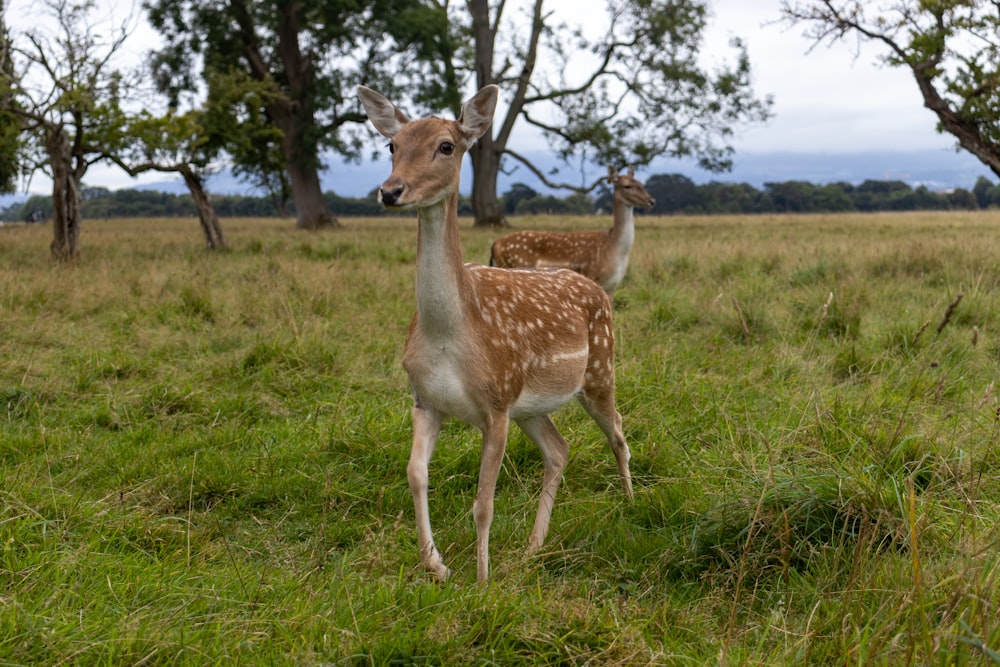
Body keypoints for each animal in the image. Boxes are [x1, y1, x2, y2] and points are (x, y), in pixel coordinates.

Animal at [358, 85, 632, 584]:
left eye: (447, 146)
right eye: (391, 145)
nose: (390, 191)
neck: (448, 337)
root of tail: (600, 290)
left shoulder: (496, 404)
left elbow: (483, 503)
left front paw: (483, 580)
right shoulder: (425, 400)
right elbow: (414, 474)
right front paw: (437, 564)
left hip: (599, 371)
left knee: (617, 430)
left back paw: (630, 500)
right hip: (531, 406)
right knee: (559, 449)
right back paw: (533, 547)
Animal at [486, 166, 656, 294]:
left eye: (641, 183)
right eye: (627, 186)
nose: (652, 201)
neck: (613, 249)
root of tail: (495, 245)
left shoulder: (612, 285)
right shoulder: (593, 275)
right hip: (516, 263)